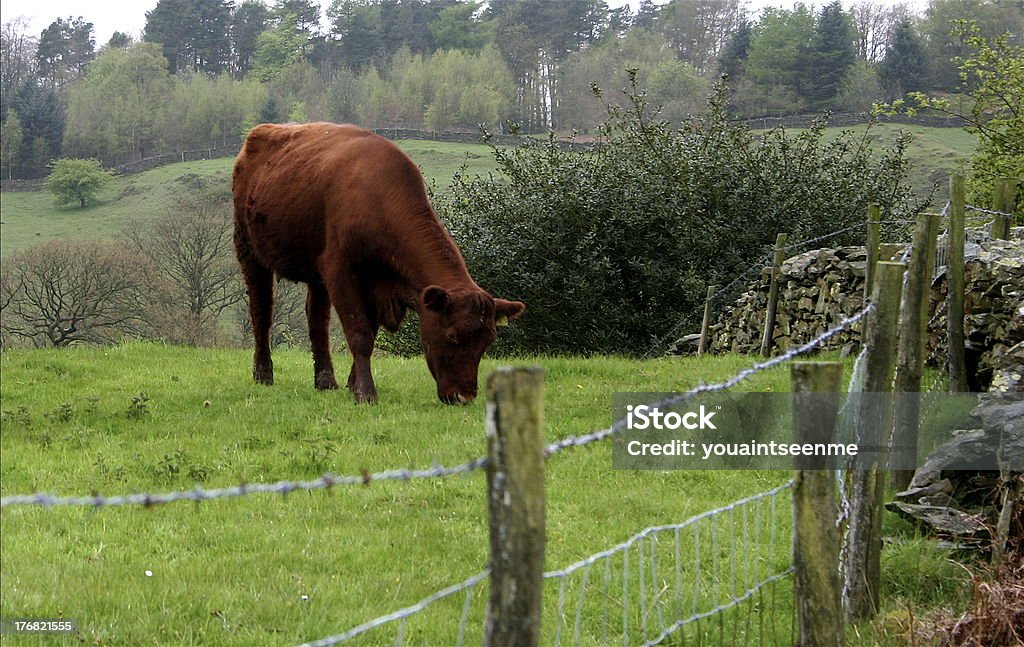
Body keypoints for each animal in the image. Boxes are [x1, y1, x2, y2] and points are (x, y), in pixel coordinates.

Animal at [234, 121, 524, 405]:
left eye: (488, 341)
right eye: (452, 335)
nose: (464, 396)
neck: (378, 201)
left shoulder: (376, 286)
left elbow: (369, 333)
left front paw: (353, 384)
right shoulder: (341, 272)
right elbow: (360, 334)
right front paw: (365, 393)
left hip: (314, 270)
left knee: (316, 319)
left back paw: (325, 381)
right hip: (248, 249)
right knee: (262, 311)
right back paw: (263, 374)